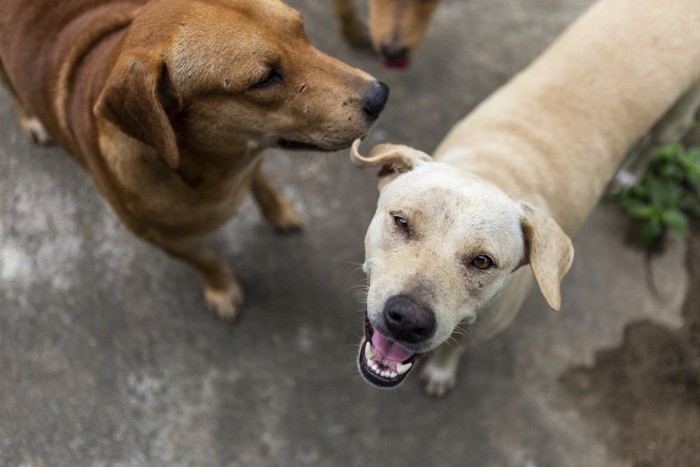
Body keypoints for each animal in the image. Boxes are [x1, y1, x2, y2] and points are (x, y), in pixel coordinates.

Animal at [1, 0, 388, 318]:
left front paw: (278, 210)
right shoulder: (163, 239)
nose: (381, 95)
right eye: (264, 79)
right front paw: (221, 288)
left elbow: (262, 184)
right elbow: (204, 259)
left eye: (301, 28)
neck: (215, 168)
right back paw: (30, 119)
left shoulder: (251, 156)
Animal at [352, 0, 700, 396]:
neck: (492, 173)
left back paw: (630, 174)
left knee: (657, 142)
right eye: (402, 222)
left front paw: (441, 371)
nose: (407, 321)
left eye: (483, 262)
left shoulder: (481, 328)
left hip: (679, 114)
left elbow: (453, 349)